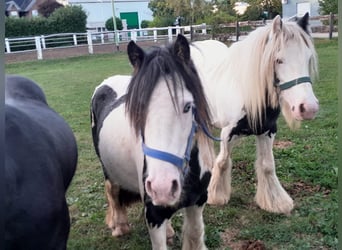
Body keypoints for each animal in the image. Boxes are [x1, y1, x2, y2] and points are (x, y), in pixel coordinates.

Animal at [91, 34, 214, 249]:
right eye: (137, 109)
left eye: (188, 106)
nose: (161, 187)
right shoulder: (154, 215)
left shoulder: (198, 201)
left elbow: (195, 234)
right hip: (107, 169)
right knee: (112, 190)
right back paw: (119, 226)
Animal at [191, 12, 320, 214]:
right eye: (278, 59)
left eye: (308, 58)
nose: (308, 108)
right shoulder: (227, 133)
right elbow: (223, 161)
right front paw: (215, 195)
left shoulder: (267, 131)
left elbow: (267, 165)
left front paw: (275, 202)